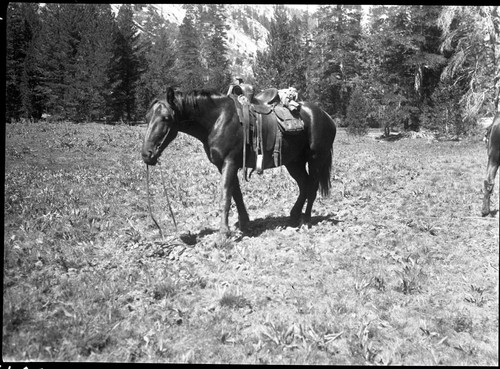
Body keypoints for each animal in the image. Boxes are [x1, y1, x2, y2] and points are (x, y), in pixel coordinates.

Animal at [141, 86, 336, 239]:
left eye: (166, 118)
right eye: (147, 117)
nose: (146, 154)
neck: (217, 119)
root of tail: (327, 117)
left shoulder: (230, 162)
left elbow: (226, 195)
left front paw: (223, 234)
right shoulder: (225, 165)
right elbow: (236, 193)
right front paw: (244, 223)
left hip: (315, 160)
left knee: (312, 187)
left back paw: (306, 220)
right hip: (294, 162)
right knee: (304, 185)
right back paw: (294, 217)